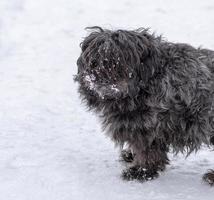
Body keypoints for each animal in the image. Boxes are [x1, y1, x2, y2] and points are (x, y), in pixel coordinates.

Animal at [74, 26, 214, 186]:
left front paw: (142, 171)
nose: (100, 77)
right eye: (94, 61)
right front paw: (133, 157)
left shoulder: (148, 126)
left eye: (120, 60)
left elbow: (148, 151)